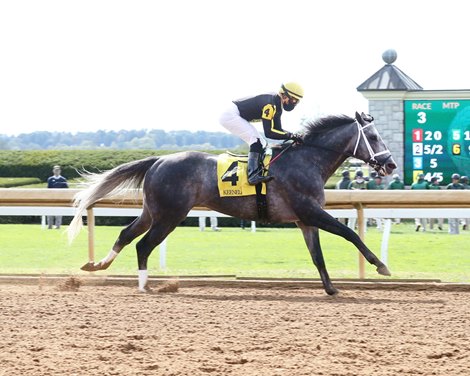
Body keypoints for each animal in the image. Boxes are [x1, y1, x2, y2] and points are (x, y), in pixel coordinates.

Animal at [67, 111, 396, 294]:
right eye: (374, 137)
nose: (390, 164)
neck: (307, 160)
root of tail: (158, 160)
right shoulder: (311, 212)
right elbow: (350, 233)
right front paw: (381, 265)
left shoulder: (304, 221)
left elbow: (318, 257)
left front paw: (330, 288)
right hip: (170, 215)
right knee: (143, 245)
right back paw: (143, 285)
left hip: (154, 212)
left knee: (126, 235)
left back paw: (97, 265)